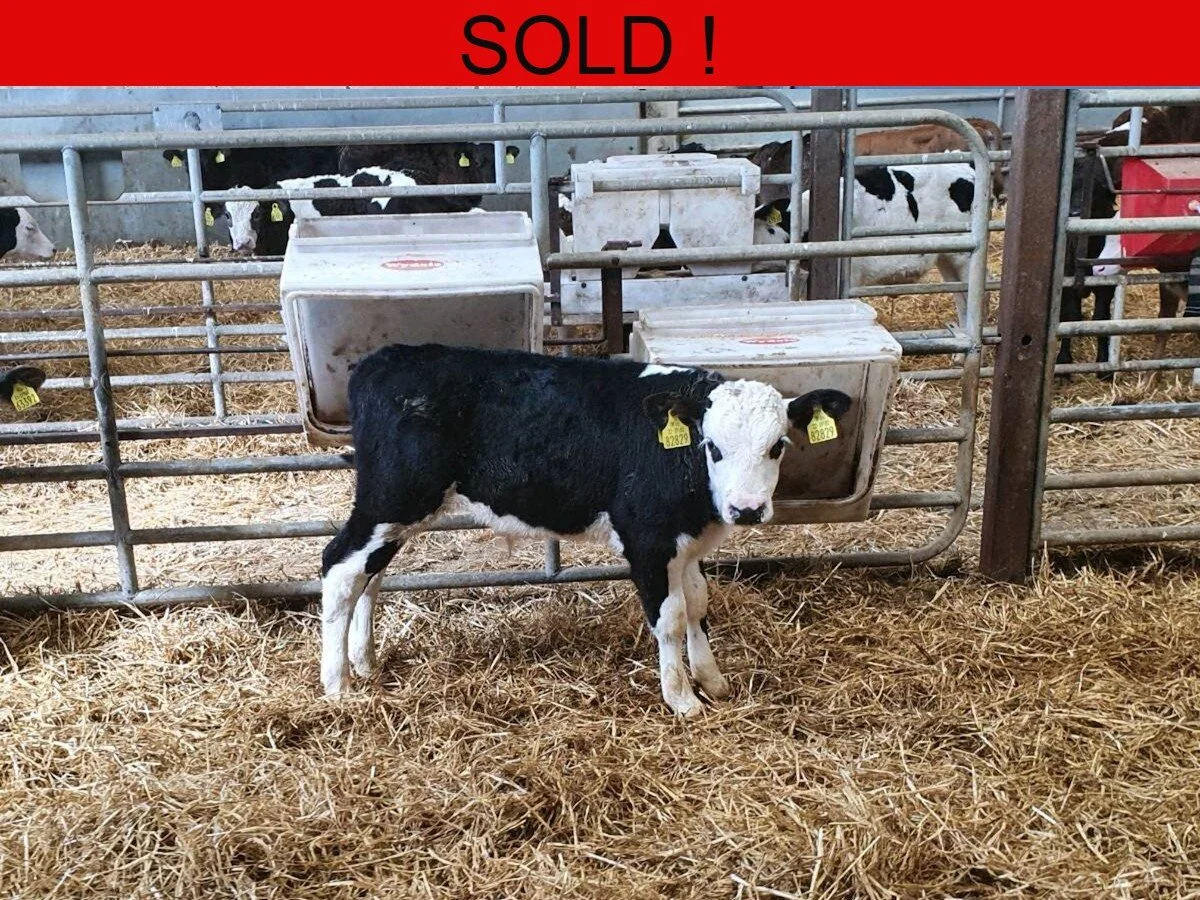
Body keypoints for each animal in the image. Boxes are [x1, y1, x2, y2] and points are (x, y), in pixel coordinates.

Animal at [318, 343, 853, 717]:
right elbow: (671, 616)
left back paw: (363, 661)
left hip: (397, 511)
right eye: (712, 446)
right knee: (341, 567)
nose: (745, 509)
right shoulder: (647, 539)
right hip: (392, 496)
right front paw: (681, 698)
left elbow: (699, 603)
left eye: (778, 446)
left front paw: (712, 679)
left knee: (372, 574)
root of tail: (384, 358)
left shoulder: (687, 542)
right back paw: (337, 685)